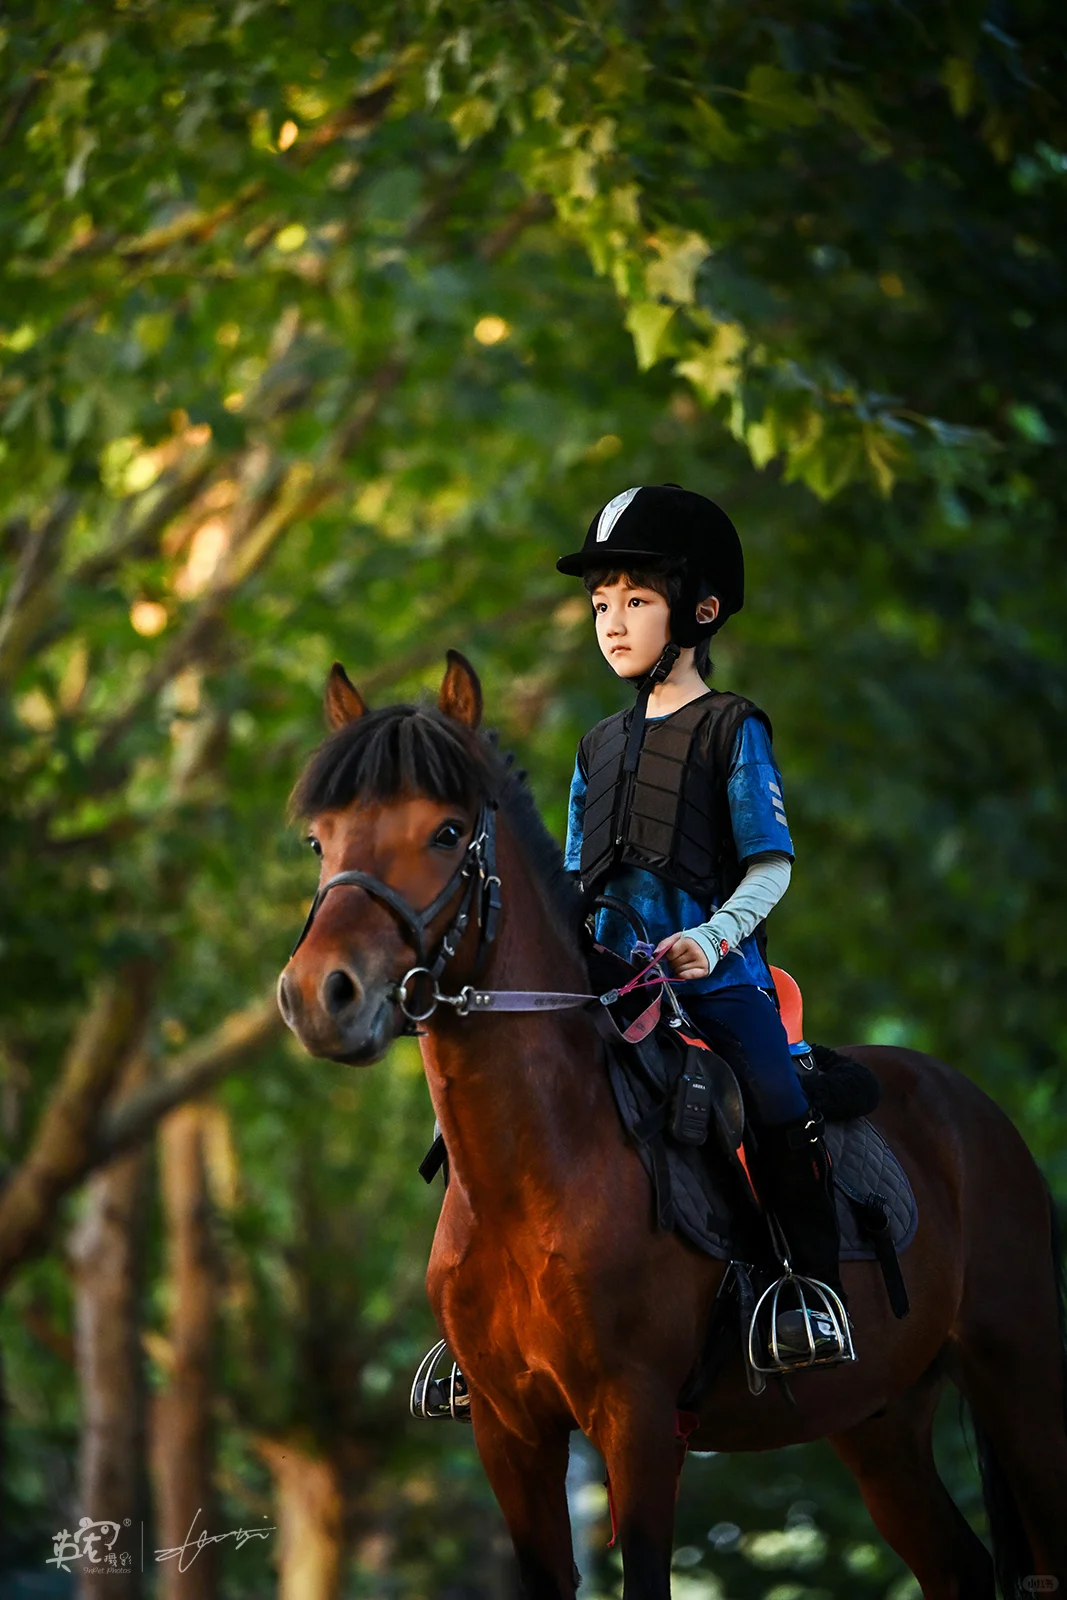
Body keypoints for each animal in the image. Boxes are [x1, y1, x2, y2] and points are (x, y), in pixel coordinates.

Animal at [278, 652, 1067, 1600]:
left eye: (445, 830)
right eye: (320, 839)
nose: (321, 996)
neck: (537, 1169)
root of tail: (976, 1116)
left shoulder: (638, 1421)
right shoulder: (509, 1431)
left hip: (1018, 1375)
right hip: (880, 1422)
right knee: (957, 1566)